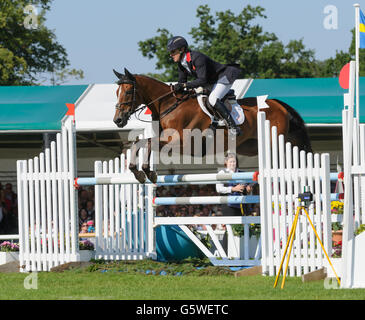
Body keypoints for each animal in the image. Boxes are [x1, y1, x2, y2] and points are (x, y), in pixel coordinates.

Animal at [112, 68, 312, 182]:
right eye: (116, 92)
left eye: (128, 92)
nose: (118, 120)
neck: (170, 104)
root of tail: (279, 104)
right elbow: (140, 142)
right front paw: (138, 172)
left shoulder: (182, 142)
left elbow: (147, 142)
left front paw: (148, 172)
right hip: (250, 146)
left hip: (274, 141)